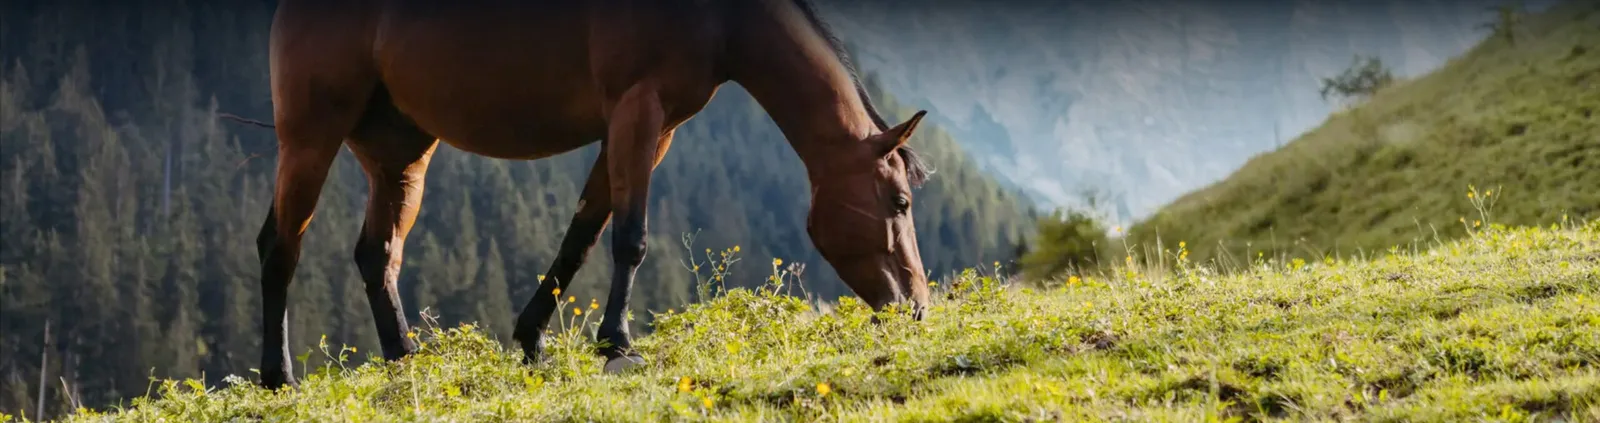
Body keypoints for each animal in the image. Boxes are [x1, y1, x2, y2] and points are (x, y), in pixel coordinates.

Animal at [250, 0, 932, 389]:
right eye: (899, 203)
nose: (918, 309)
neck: (719, 18)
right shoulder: (639, 110)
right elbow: (630, 238)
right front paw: (618, 344)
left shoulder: (648, 129)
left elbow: (582, 236)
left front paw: (532, 340)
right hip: (311, 137)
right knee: (279, 247)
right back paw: (278, 378)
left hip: (399, 156)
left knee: (378, 254)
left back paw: (404, 361)